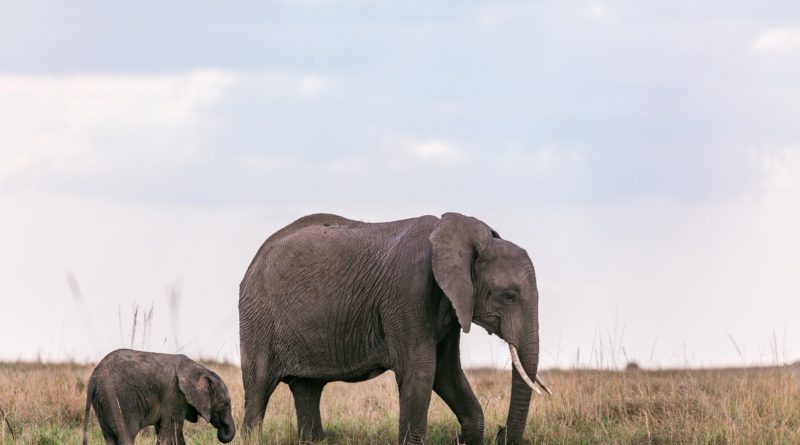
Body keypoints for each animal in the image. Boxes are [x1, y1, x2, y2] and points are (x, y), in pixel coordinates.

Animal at [82, 348, 236, 442]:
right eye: (226, 403)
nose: (221, 429)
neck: (200, 369)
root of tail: (93, 377)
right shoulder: (175, 396)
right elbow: (170, 432)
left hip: (102, 402)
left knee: (109, 437)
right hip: (118, 399)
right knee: (126, 435)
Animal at [238, 213, 552, 442]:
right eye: (509, 296)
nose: (501, 432)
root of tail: (256, 256)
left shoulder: (450, 306)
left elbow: (446, 372)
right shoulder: (408, 292)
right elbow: (421, 371)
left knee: (307, 388)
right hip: (258, 315)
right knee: (258, 386)